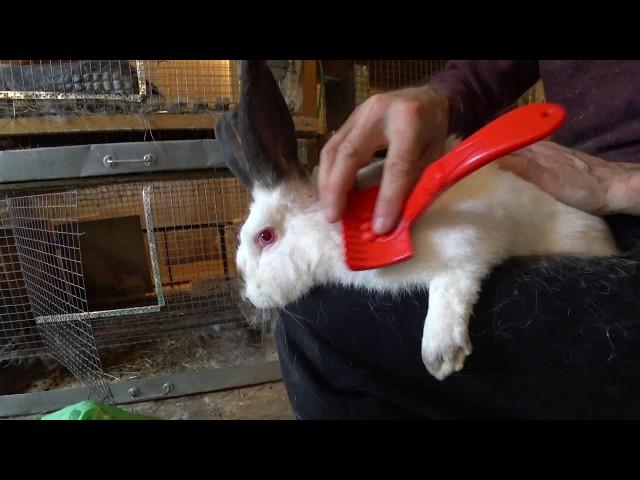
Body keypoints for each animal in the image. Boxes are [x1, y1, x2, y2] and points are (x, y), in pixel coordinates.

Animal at [218, 62, 616, 380]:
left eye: (265, 237)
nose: (251, 297)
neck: (336, 228)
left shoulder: (469, 243)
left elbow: (452, 283)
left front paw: (441, 354)